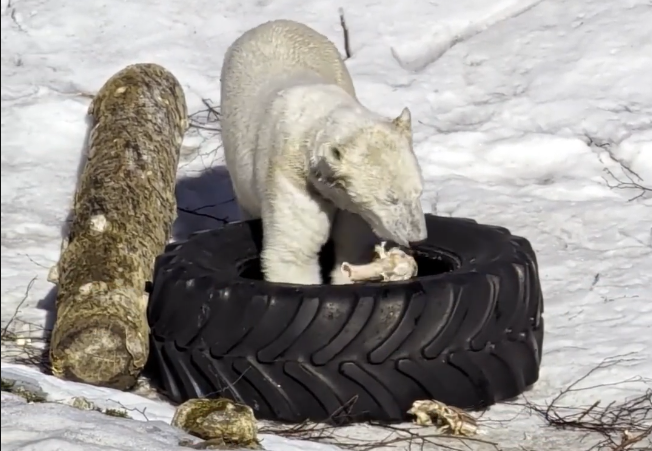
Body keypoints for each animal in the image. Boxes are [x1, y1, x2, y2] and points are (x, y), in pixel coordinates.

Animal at [220, 19, 427, 285]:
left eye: (419, 192)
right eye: (390, 199)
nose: (417, 239)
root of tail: (271, 24)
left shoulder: (354, 208)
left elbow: (353, 248)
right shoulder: (293, 179)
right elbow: (293, 253)